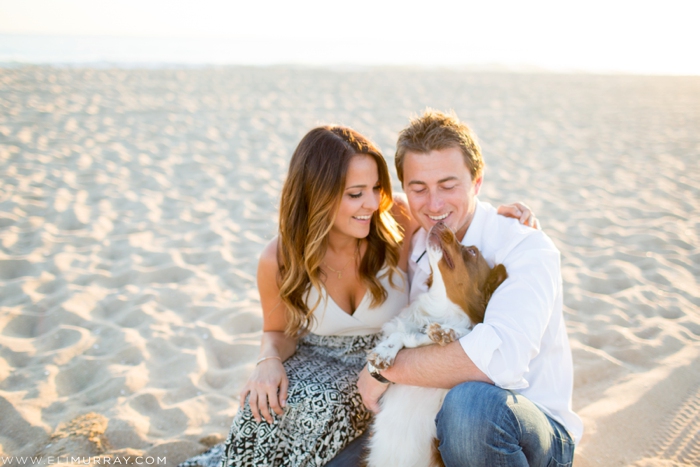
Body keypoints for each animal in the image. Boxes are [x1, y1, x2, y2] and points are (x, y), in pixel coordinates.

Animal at [364, 220, 506, 467]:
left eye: (472, 252)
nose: (440, 222)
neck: (439, 310)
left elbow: (462, 332)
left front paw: (446, 331)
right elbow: (401, 335)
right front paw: (384, 353)